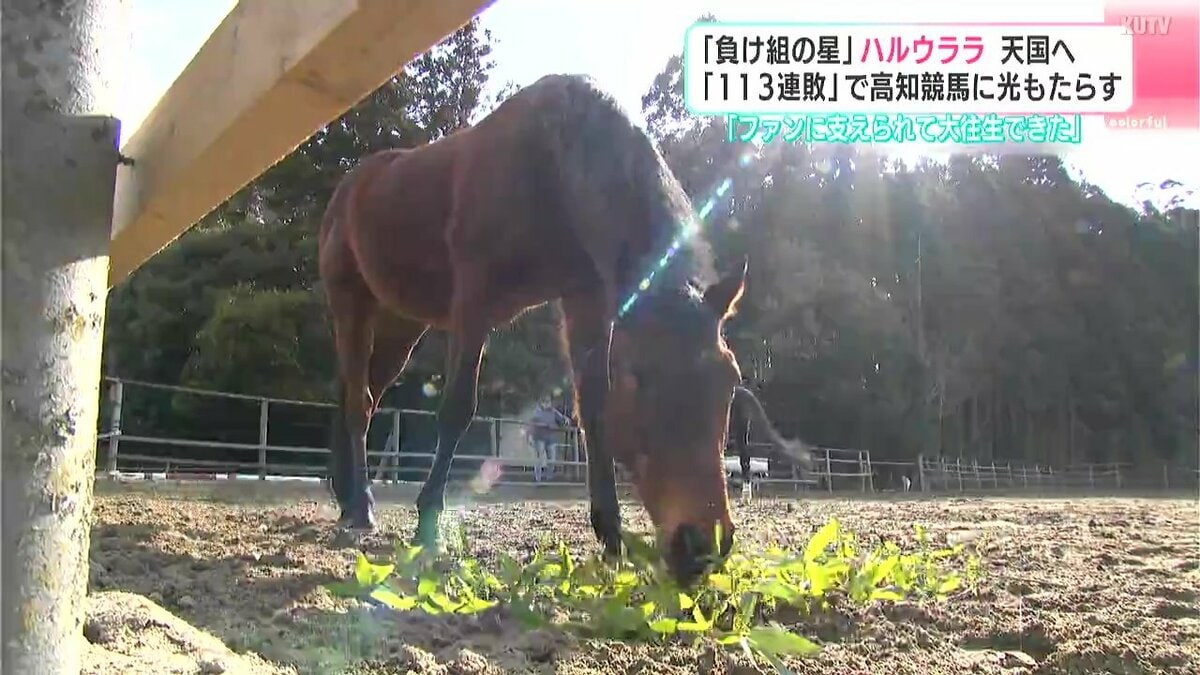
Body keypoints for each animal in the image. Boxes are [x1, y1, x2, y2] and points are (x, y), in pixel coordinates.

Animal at [318, 73, 811, 586]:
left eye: (730, 380)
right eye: (641, 377)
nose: (702, 546)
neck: (550, 167)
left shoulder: (585, 298)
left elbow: (593, 409)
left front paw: (611, 534)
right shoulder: (474, 299)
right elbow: (457, 408)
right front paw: (428, 521)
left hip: (402, 325)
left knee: (359, 392)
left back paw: (346, 496)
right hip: (350, 300)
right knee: (358, 402)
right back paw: (362, 508)